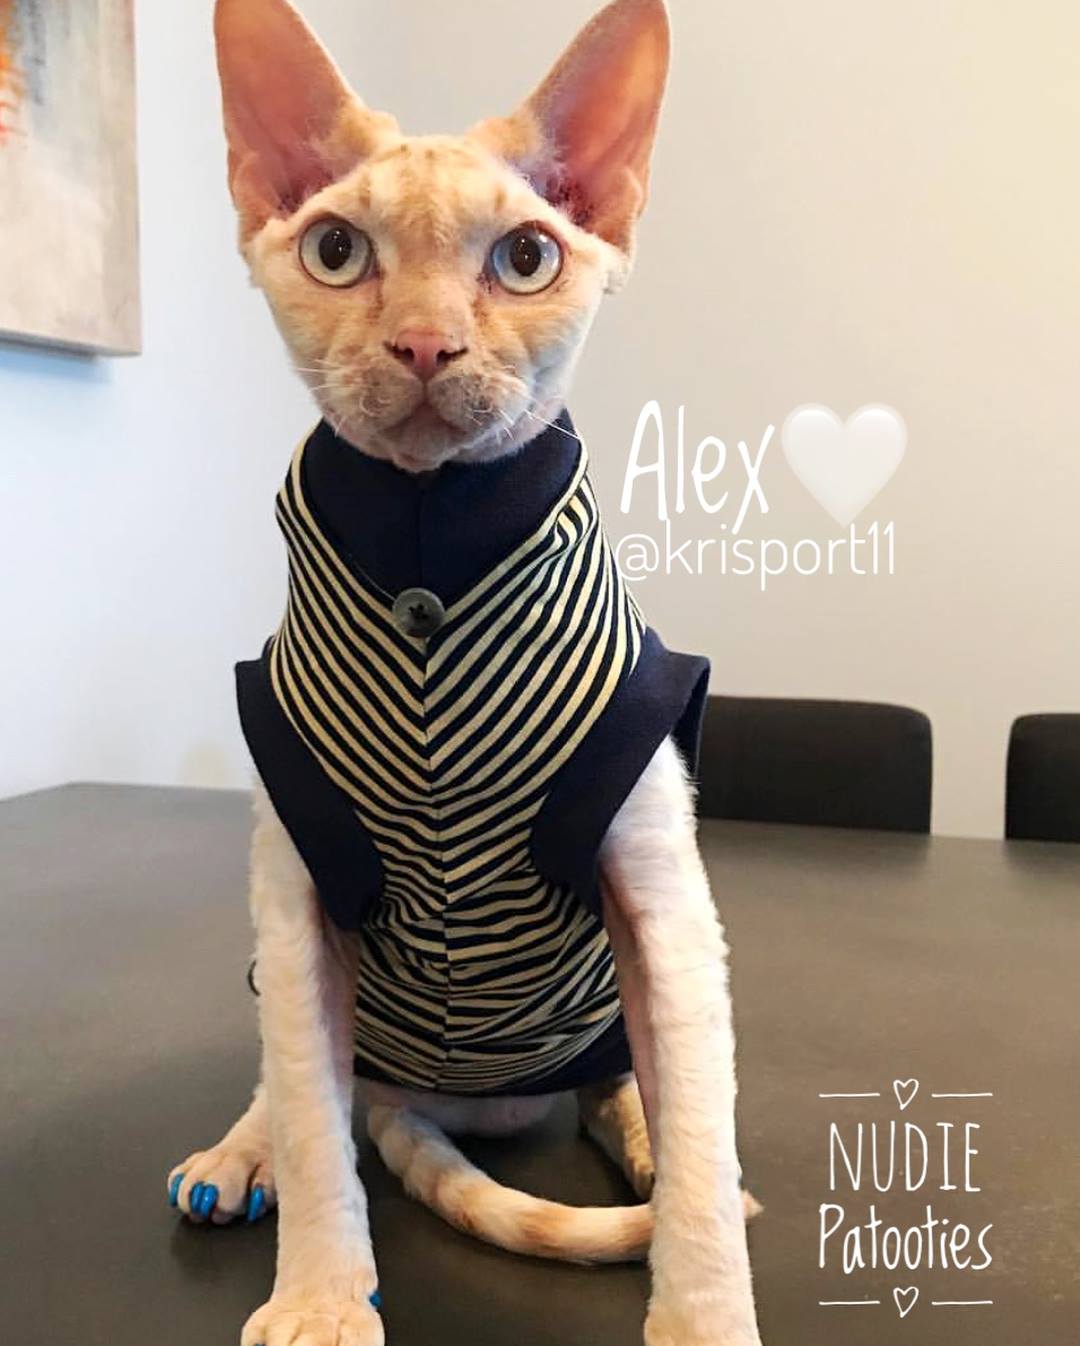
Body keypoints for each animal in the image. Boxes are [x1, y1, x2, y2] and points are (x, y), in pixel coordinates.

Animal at [166, 2, 764, 1344]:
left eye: (527, 259)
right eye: (337, 250)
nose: (427, 343)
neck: (431, 539)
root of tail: (465, 1100)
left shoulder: (664, 899)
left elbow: (701, 1127)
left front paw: (703, 1305)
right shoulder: (295, 898)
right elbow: (310, 1103)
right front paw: (321, 1292)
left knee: (641, 1089)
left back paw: (647, 1143)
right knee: (311, 1082)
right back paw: (242, 1152)